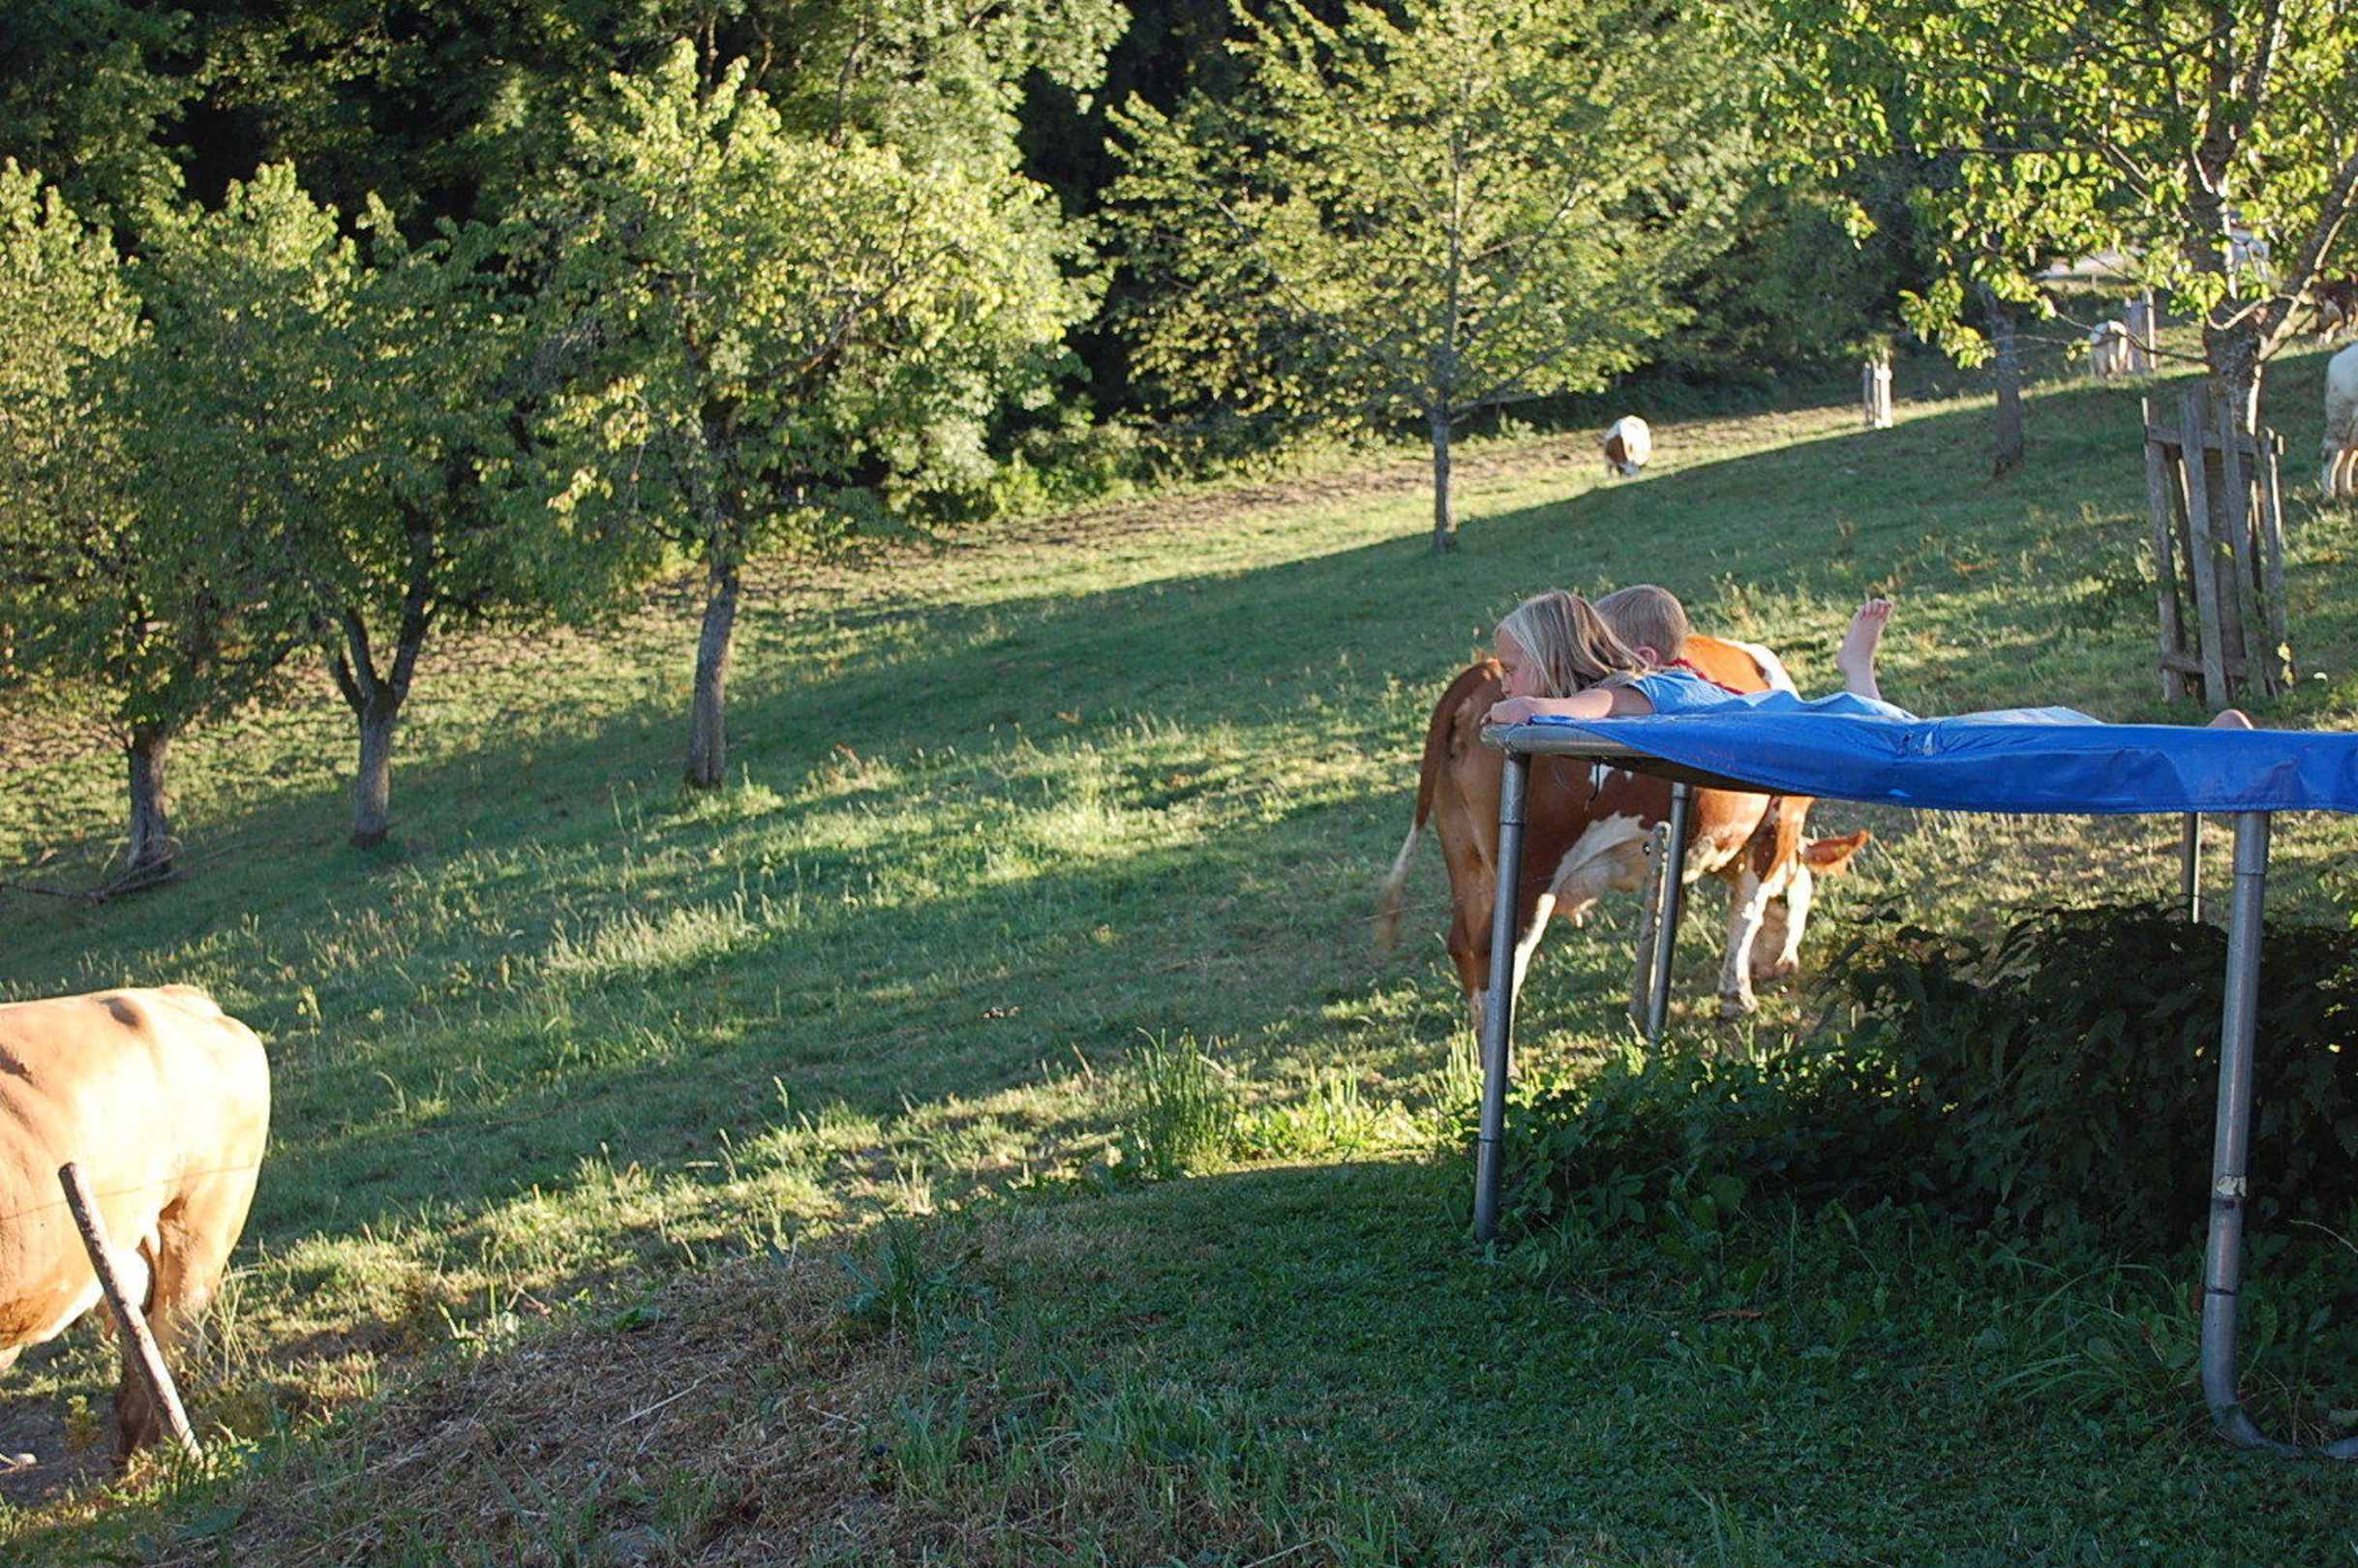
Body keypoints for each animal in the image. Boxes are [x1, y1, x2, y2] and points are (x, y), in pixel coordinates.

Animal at [1375, 636, 1868, 1023]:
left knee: (1463, 946)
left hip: (1467, 859)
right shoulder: (1777, 824)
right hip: (1531, 873)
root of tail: (1481, 672)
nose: (1783, 968)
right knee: (1500, 955)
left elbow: (1667, 915)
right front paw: (1736, 994)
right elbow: (1747, 909)